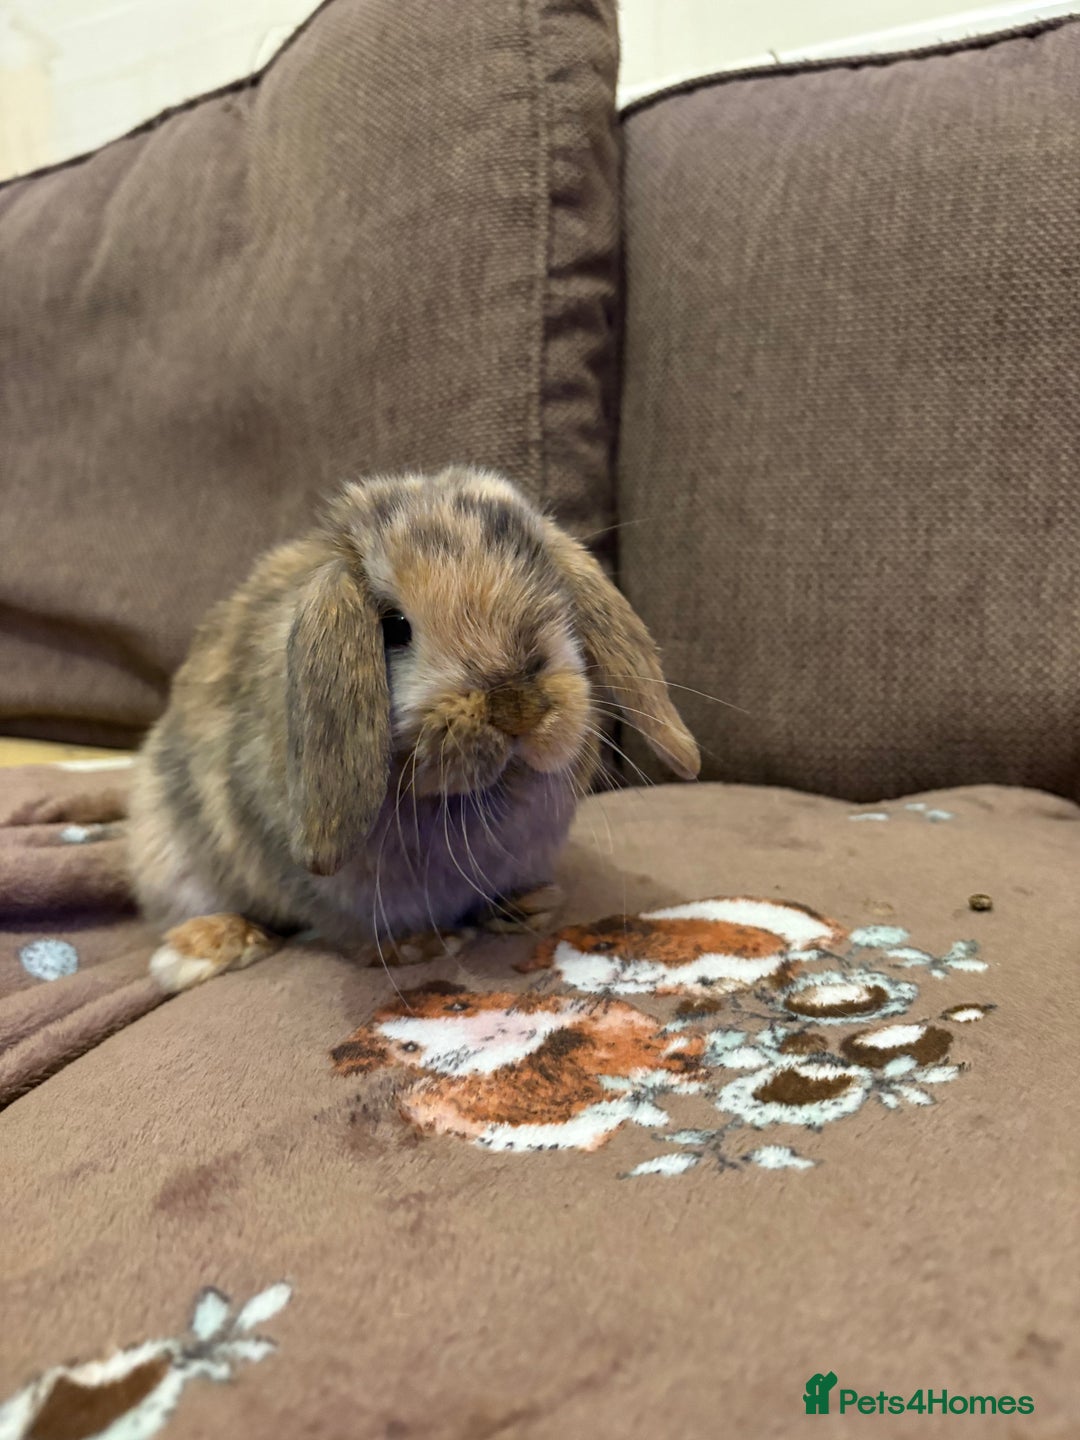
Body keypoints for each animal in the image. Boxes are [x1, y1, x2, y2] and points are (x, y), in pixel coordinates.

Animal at [128, 465, 700, 993]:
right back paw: (201, 948)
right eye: (394, 626)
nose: (516, 706)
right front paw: (420, 944)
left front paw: (526, 908)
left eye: (556, 599)